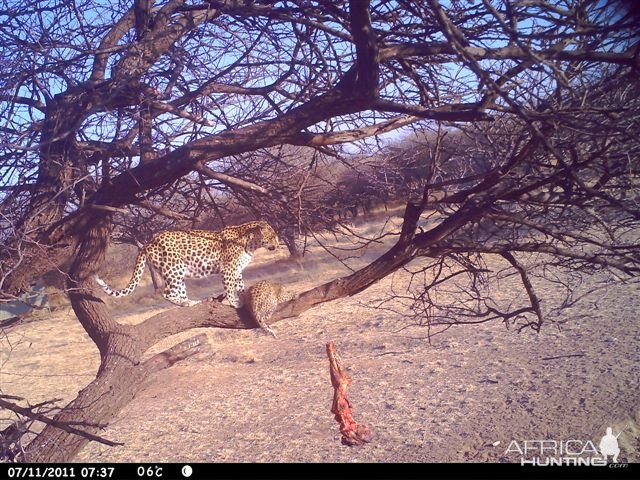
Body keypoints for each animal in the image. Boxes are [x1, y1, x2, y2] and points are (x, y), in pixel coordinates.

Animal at [94, 221, 278, 308]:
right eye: (272, 237)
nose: (276, 245)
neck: (251, 242)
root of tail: (148, 242)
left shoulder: (237, 271)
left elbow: (239, 286)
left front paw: (244, 296)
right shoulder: (229, 270)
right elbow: (230, 288)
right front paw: (234, 302)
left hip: (178, 274)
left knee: (179, 292)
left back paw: (192, 303)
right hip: (173, 269)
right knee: (166, 293)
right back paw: (186, 303)